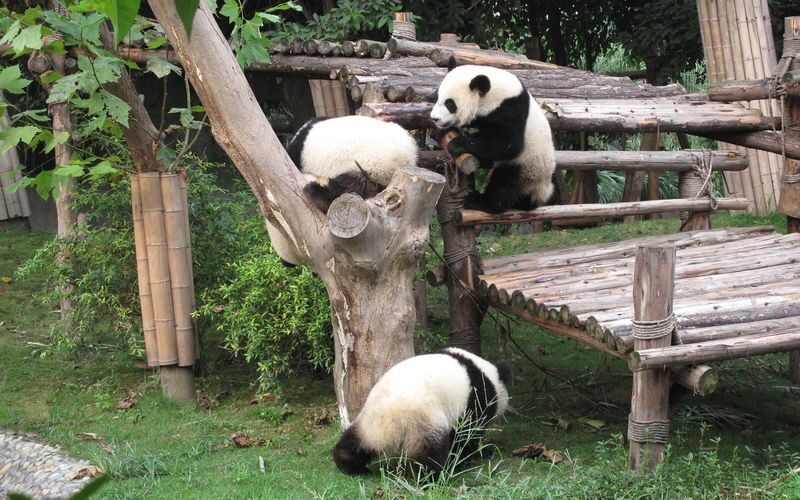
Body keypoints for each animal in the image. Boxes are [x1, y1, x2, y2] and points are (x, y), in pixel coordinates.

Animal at [333, 347, 511, 475]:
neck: (486, 374)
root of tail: (393, 414)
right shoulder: (475, 399)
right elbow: (466, 435)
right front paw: (478, 453)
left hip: (372, 419)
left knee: (357, 441)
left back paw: (348, 464)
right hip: (423, 419)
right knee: (430, 453)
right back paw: (433, 476)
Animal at [429, 63, 556, 213]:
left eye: (450, 104)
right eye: (438, 97)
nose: (434, 118)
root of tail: (541, 192)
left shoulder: (510, 109)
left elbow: (508, 143)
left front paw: (457, 144)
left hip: (529, 166)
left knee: (505, 184)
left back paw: (479, 201)